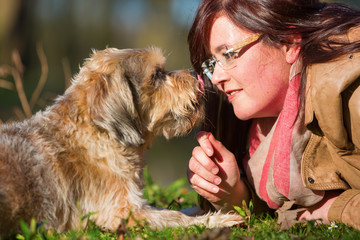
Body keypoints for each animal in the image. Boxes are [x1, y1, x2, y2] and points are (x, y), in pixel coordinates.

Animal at [0, 47, 245, 236]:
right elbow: (173, 216)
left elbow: (167, 209)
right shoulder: (120, 213)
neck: (102, 133)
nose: (197, 74)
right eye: (157, 74)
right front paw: (218, 220)